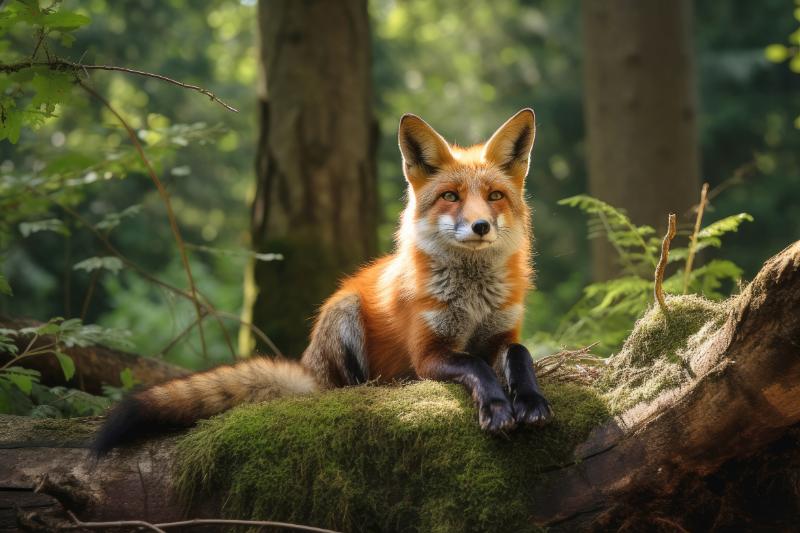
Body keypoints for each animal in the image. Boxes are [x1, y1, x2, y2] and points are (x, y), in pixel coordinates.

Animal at [93, 108, 552, 454]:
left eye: (494, 196)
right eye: (451, 196)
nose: (479, 227)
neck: (472, 299)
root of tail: (308, 368)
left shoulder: (502, 332)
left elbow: (520, 354)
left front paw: (530, 401)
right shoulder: (429, 352)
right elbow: (476, 366)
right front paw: (497, 407)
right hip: (344, 312)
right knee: (347, 390)